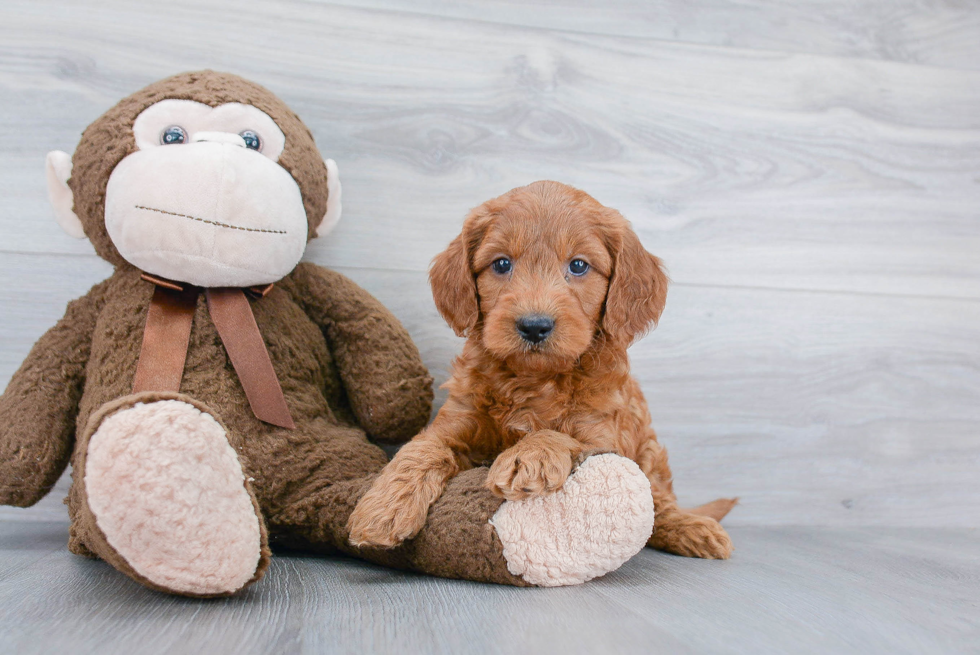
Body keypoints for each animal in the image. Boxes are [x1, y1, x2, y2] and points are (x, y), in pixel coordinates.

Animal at [348, 179, 732, 560]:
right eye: (502, 263)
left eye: (578, 266)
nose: (534, 326)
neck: (534, 379)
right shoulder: (455, 421)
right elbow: (422, 449)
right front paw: (383, 509)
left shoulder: (604, 436)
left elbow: (562, 435)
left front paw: (528, 457)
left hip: (649, 451)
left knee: (659, 501)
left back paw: (693, 529)